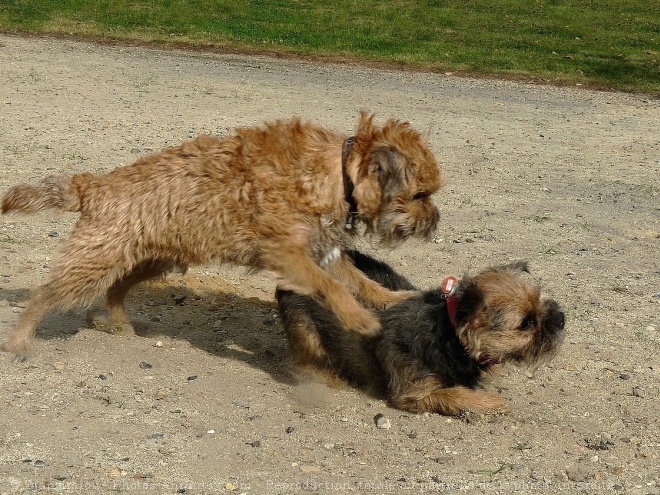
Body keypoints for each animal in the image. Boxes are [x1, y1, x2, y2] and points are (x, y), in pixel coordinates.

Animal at [3, 113, 444, 360]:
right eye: (420, 195)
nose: (435, 221)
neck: (337, 173)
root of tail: (93, 185)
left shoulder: (322, 252)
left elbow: (360, 281)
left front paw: (392, 299)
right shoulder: (286, 254)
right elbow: (331, 288)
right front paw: (358, 319)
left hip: (154, 260)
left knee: (117, 288)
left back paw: (118, 321)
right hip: (95, 261)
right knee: (45, 294)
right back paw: (20, 340)